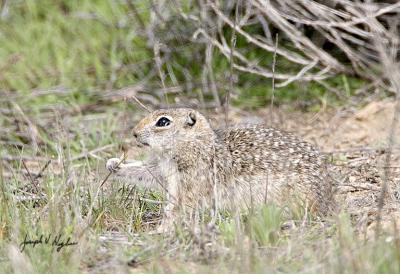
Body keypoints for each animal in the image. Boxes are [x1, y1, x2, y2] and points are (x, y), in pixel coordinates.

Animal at [106, 108, 334, 228]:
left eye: (163, 122)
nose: (134, 133)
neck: (195, 143)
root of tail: (327, 197)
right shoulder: (162, 170)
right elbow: (144, 172)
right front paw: (113, 164)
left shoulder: (190, 182)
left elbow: (179, 206)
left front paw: (162, 230)